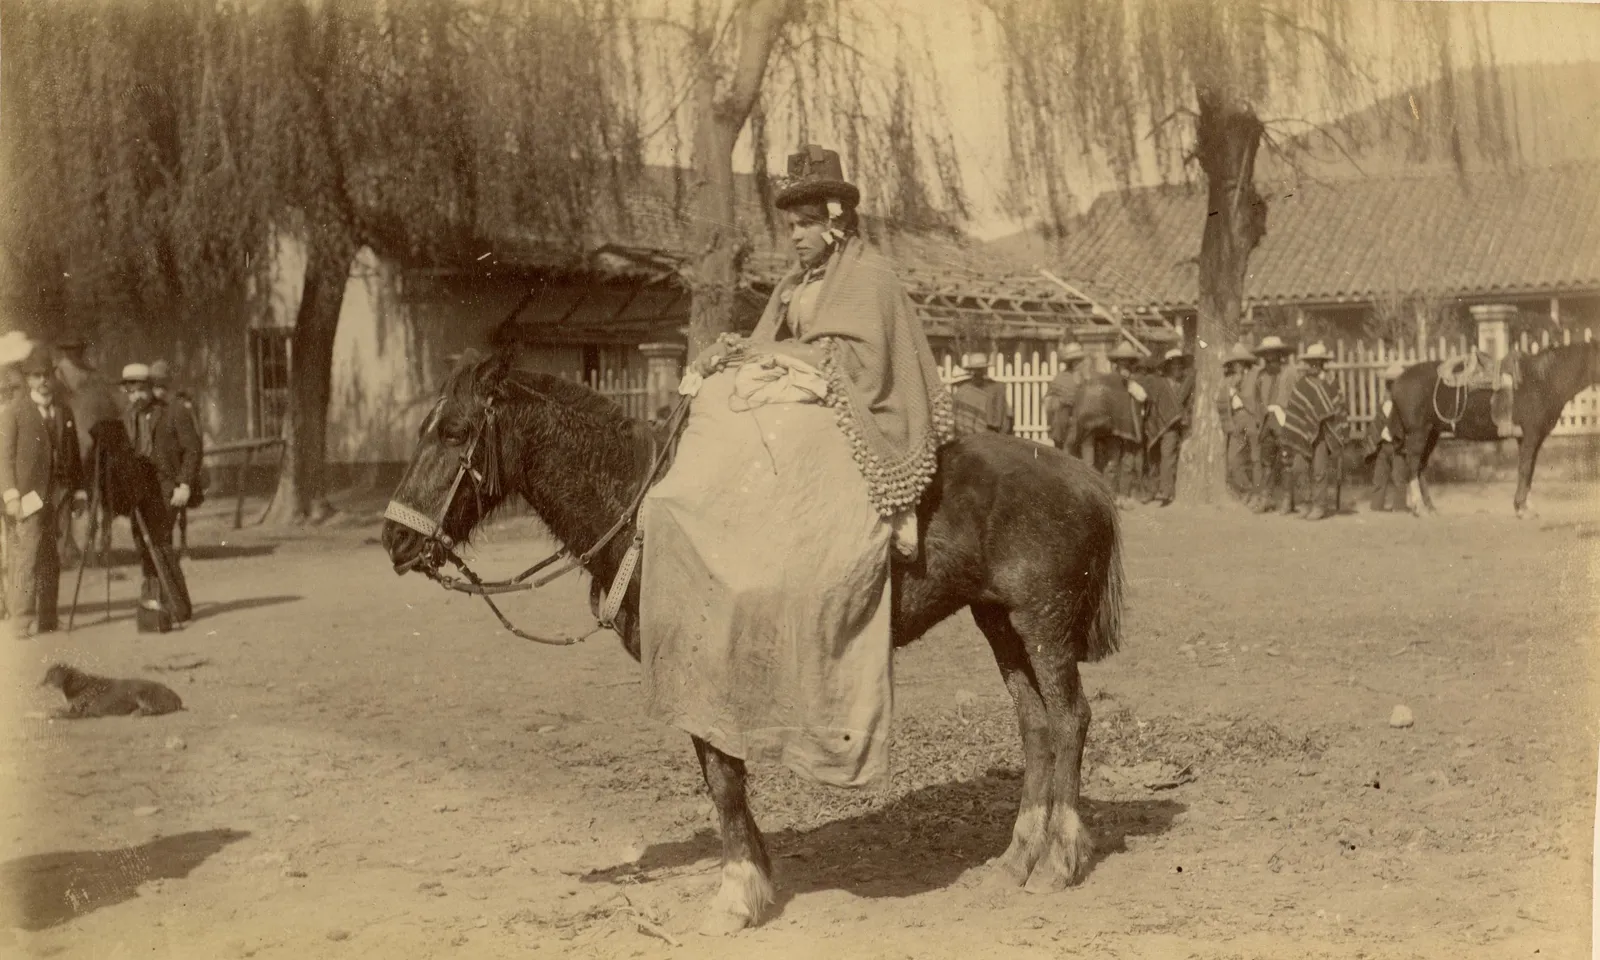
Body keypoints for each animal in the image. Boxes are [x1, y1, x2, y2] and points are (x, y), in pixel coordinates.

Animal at [381, 349, 1126, 936]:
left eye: (453, 431)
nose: (394, 538)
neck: (645, 511)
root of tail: (1087, 476)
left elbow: (722, 778)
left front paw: (737, 893)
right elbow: (722, 775)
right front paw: (757, 875)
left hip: (1042, 622)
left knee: (1069, 718)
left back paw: (1060, 859)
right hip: (998, 621)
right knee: (1035, 725)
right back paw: (1018, 855)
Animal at [1388, 340, 1599, 518]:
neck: (1543, 380)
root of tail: (1397, 381)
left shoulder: (1531, 439)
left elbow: (1529, 470)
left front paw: (1526, 506)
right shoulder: (1530, 436)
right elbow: (1524, 469)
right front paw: (1521, 508)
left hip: (1432, 433)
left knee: (1421, 467)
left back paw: (1430, 507)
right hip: (1418, 433)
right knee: (1412, 466)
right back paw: (1419, 507)